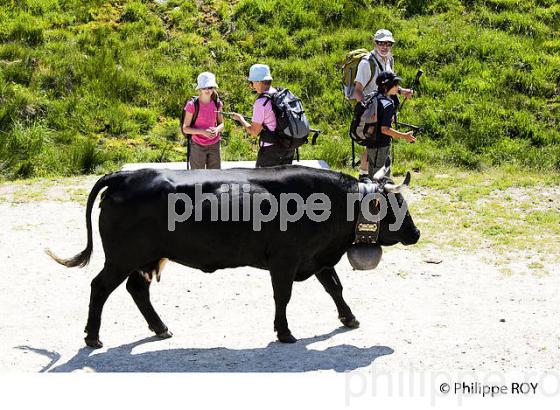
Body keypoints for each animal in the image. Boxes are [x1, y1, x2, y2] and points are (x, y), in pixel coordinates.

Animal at [46, 163, 418, 346]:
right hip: (122, 258)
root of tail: (125, 175)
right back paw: (93, 337)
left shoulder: (316, 258)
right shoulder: (285, 261)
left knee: (137, 290)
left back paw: (160, 327)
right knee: (100, 287)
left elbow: (335, 288)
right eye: (396, 202)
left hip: (144, 258)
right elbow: (283, 297)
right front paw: (284, 332)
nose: (415, 233)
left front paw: (349, 318)